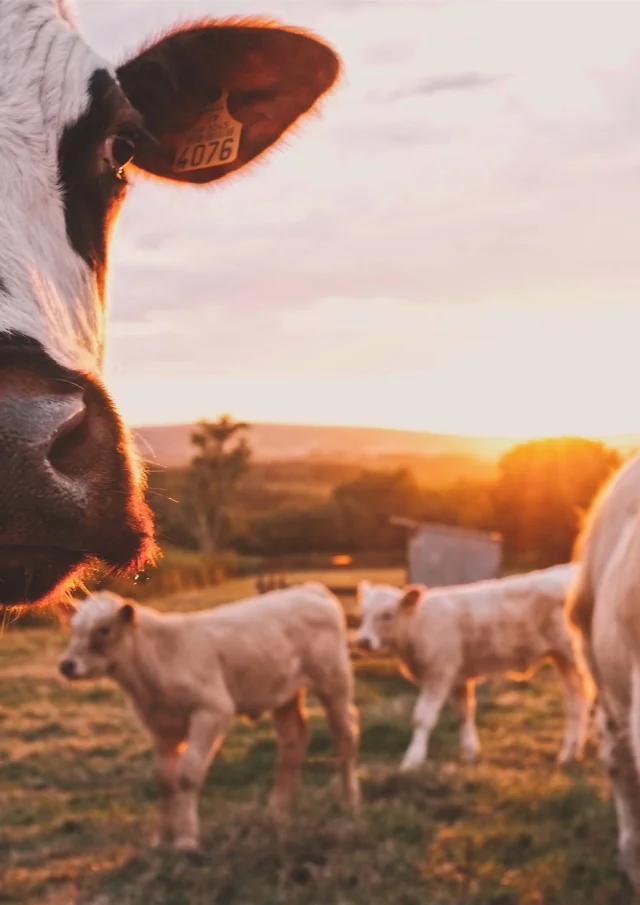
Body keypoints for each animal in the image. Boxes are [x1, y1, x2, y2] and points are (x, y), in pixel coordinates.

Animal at [58, 584, 360, 851]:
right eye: (73, 628)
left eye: (104, 629)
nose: (66, 665)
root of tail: (310, 589)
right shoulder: (161, 727)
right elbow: (164, 780)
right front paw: (162, 837)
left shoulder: (212, 710)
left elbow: (187, 774)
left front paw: (186, 839)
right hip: (284, 693)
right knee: (292, 742)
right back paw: (277, 810)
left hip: (334, 682)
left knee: (344, 734)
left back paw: (349, 801)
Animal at [356, 566, 592, 772]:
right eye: (363, 614)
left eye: (387, 615)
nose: (363, 641)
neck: (418, 624)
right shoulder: (458, 678)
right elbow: (464, 713)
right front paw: (469, 753)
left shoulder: (438, 674)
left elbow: (423, 718)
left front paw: (412, 760)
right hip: (562, 659)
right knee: (576, 701)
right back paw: (570, 754)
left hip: (576, 656)